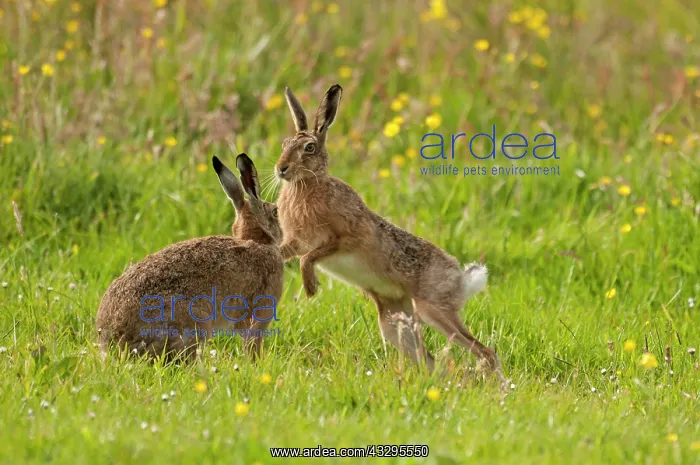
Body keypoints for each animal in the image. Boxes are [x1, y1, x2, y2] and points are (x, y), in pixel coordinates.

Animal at [96, 153, 284, 361]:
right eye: (275, 212)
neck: (256, 240)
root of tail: (114, 340)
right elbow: (252, 342)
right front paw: (255, 363)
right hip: (192, 324)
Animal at [274, 84, 506, 388]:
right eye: (284, 144)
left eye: (309, 148)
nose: (281, 169)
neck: (307, 184)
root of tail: (461, 280)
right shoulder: (295, 241)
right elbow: (285, 251)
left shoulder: (347, 238)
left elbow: (311, 257)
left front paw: (311, 287)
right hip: (394, 323)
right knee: (429, 360)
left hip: (433, 309)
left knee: (485, 351)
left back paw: (498, 387)